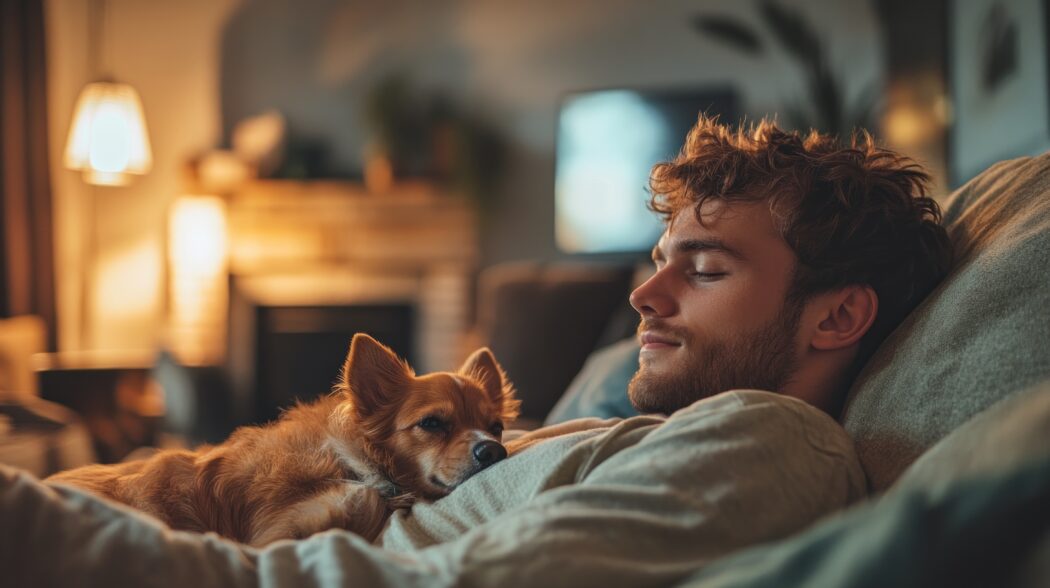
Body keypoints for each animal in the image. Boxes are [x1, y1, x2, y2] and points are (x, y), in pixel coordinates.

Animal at [46, 336, 520, 546]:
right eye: (433, 423)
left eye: (495, 426)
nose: (494, 450)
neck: (350, 463)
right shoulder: (274, 534)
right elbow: (361, 502)